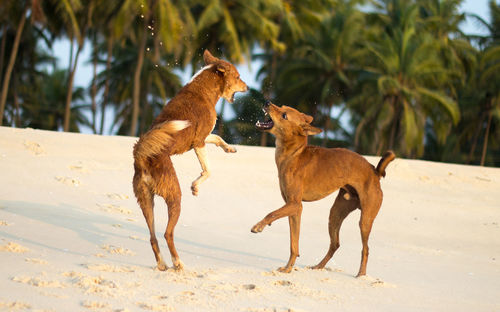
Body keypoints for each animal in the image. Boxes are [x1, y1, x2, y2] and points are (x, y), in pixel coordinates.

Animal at [133, 50, 248, 270]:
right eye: (238, 77)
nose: (247, 87)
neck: (204, 89)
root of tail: (142, 156)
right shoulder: (198, 142)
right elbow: (208, 170)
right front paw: (195, 186)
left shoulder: (202, 138)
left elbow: (217, 138)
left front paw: (229, 148)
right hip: (173, 194)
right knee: (167, 233)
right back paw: (178, 263)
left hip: (145, 201)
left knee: (152, 237)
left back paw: (163, 264)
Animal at [254, 102, 394, 276]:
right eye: (281, 105)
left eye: (284, 115)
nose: (267, 102)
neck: (293, 154)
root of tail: (375, 171)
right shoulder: (294, 209)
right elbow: (294, 245)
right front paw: (288, 268)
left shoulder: (295, 204)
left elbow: (271, 213)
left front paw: (258, 226)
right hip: (335, 214)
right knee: (335, 244)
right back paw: (318, 266)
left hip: (365, 221)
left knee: (365, 249)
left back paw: (360, 276)